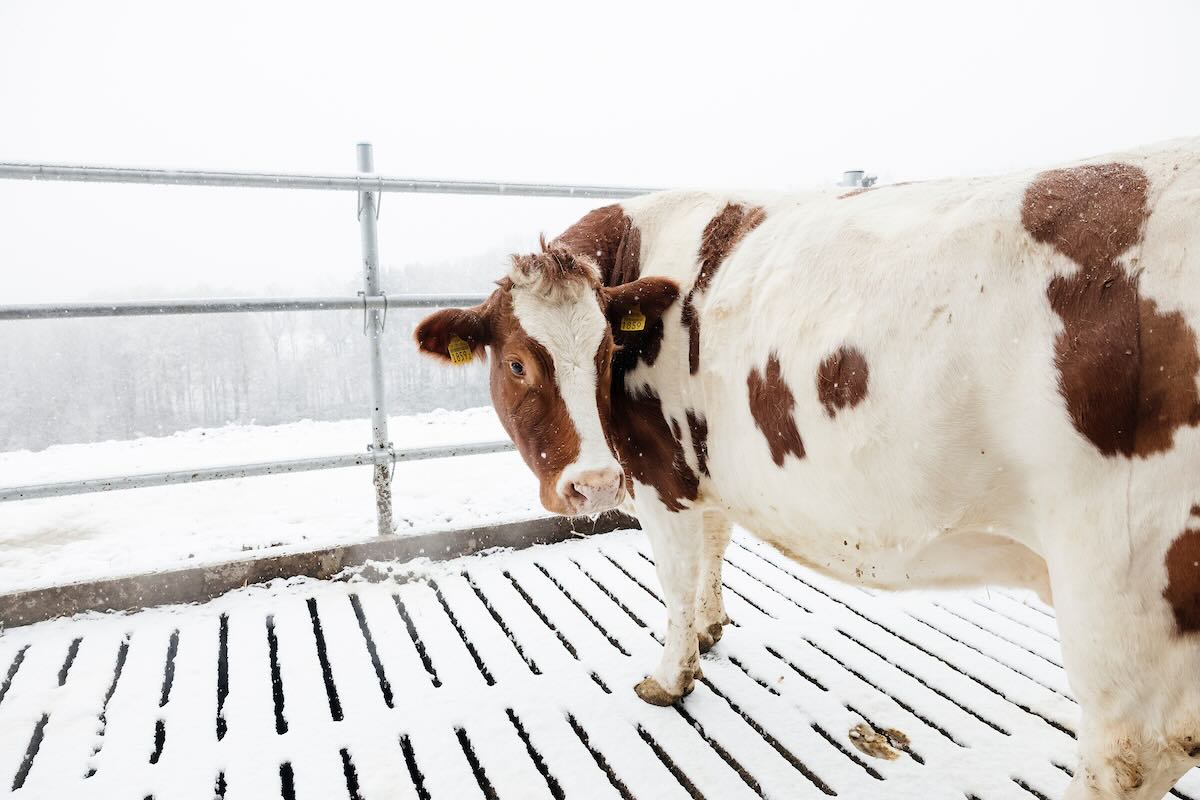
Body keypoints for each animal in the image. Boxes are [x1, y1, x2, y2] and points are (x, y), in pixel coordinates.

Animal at [415, 138, 1200, 800]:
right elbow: (715, 548)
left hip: (1120, 580)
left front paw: (669, 677)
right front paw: (712, 629)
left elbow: (674, 582)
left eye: (608, 352)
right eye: (518, 362)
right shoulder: (706, 474)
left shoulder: (661, 477)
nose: (594, 484)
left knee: (1131, 755)